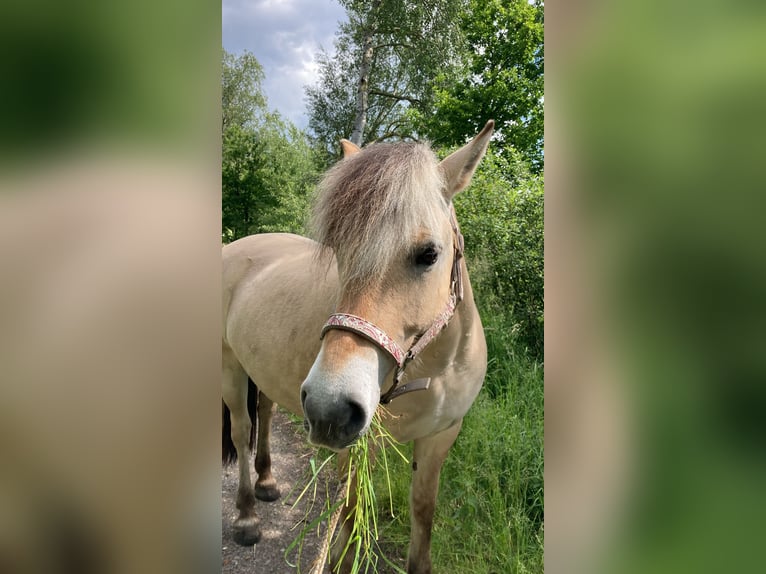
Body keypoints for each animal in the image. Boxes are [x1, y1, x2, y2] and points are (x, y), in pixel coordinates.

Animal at [222, 121, 498, 574]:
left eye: (429, 254)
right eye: (340, 252)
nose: (329, 408)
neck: (432, 371)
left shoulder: (441, 436)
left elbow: (423, 511)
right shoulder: (356, 448)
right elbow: (350, 514)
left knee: (263, 411)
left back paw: (267, 481)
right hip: (229, 365)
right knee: (242, 428)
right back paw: (247, 515)